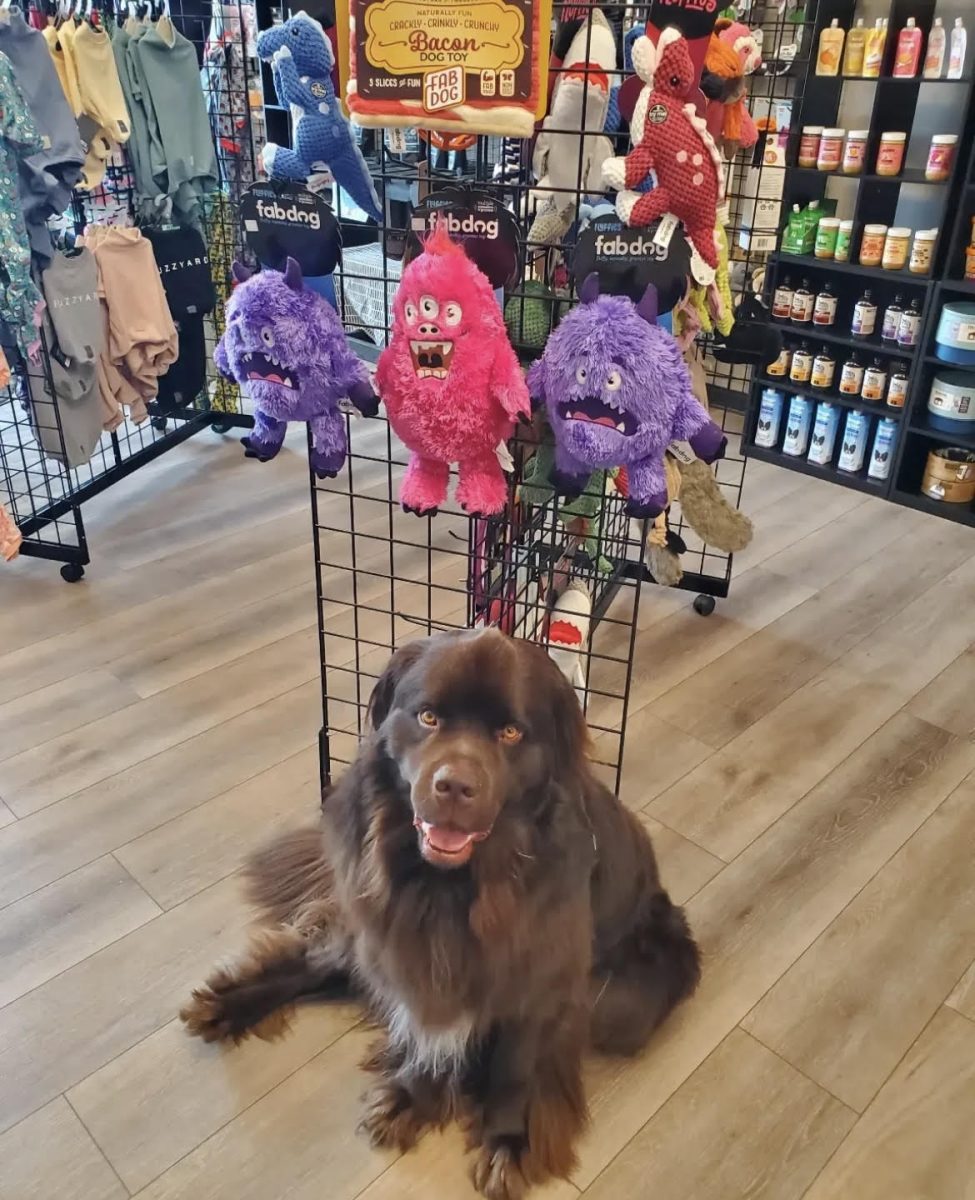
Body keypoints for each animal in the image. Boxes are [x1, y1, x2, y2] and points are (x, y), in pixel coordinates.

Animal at [181, 628, 701, 1200]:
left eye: (511, 732)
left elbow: (517, 1061)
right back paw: (229, 1002)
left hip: (628, 999)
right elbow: (428, 1030)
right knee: (325, 961)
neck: (456, 885)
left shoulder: (541, 975)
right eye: (428, 717)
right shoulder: (409, 944)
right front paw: (413, 1097)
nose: (453, 785)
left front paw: (507, 1141)